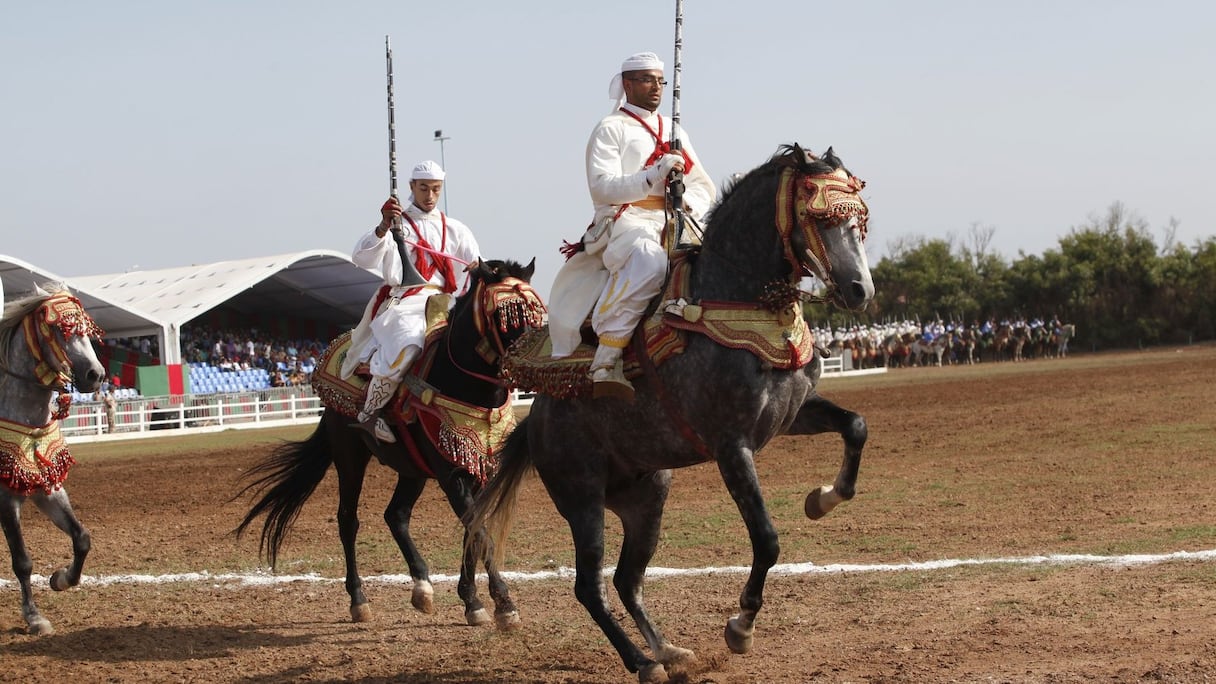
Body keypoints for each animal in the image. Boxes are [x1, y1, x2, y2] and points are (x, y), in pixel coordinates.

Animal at [0, 281, 105, 628]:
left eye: (86, 329)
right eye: (59, 328)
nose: (96, 374)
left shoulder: (47, 489)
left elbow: (82, 538)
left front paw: (61, 579)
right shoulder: (5, 499)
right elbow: (22, 561)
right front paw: (34, 617)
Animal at [237, 258, 542, 628]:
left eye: (535, 312)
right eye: (506, 314)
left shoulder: (480, 470)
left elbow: (474, 531)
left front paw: (473, 600)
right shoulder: (451, 477)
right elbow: (479, 532)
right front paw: (503, 602)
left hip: (411, 469)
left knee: (395, 515)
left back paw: (422, 586)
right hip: (350, 457)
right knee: (348, 521)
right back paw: (359, 600)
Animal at [464, 143, 875, 676]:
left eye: (858, 219)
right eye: (818, 214)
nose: (860, 289)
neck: (737, 300)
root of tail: (536, 419)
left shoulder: (791, 416)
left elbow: (856, 427)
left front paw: (823, 498)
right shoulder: (731, 446)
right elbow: (766, 538)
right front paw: (741, 626)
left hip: (648, 498)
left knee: (626, 579)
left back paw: (666, 649)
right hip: (582, 500)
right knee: (590, 586)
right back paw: (642, 662)